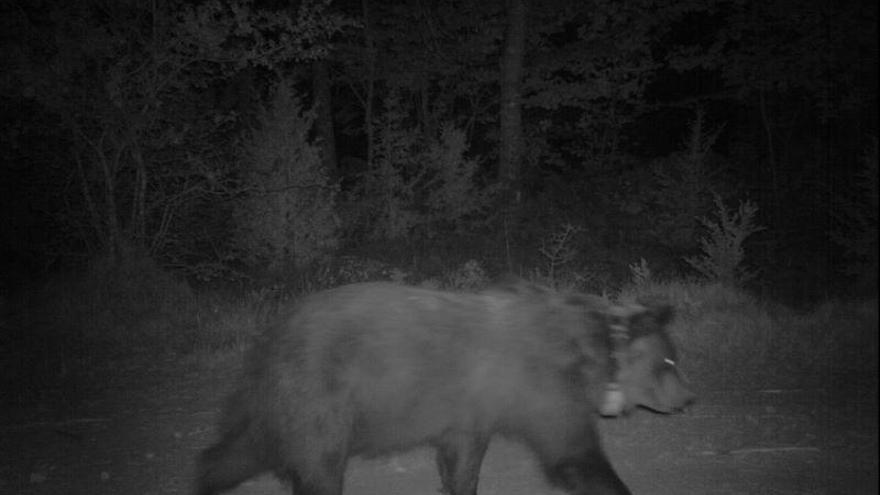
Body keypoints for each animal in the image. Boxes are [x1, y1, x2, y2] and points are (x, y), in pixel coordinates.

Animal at [196, 282, 692, 495]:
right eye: (669, 360)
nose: (689, 398)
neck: (591, 352)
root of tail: (270, 341)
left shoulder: (472, 409)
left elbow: (461, 459)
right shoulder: (543, 391)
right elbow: (573, 456)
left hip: (286, 407)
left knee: (243, 449)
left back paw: (206, 474)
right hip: (320, 399)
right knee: (319, 469)